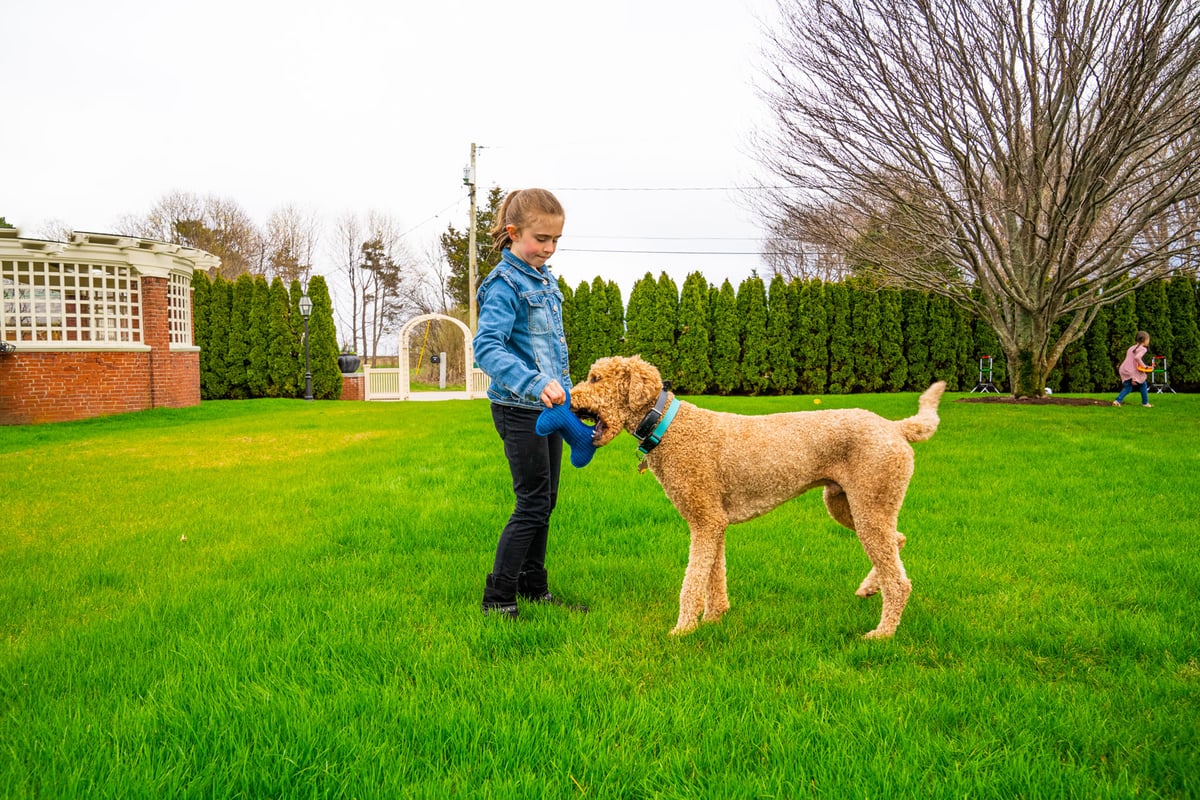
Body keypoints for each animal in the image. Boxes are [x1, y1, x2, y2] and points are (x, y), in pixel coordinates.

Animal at [571, 357, 945, 638]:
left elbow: (693, 581)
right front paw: (715, 617)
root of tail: (895, 427)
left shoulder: (704, 521)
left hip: (870, 503)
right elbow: (715, 575)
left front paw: (683, 630)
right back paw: (870, 588)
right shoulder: (715, 522)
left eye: (595, 378)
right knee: (897, 540)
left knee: (899, 580)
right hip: (847, 504)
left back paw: (883, 633)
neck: (667, 425)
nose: (569, 400)